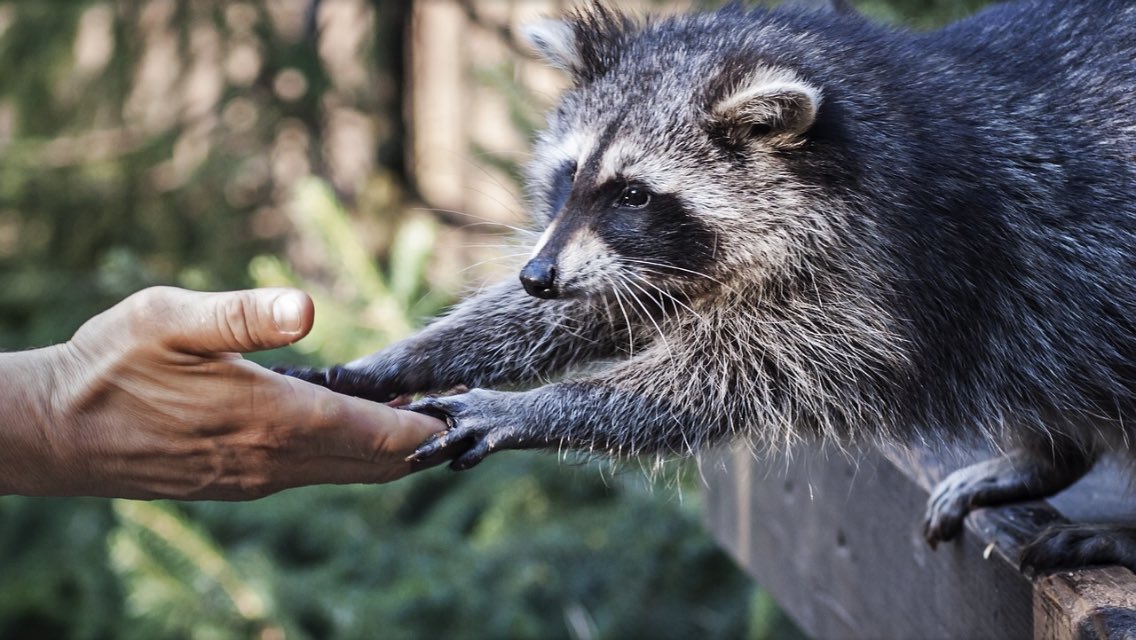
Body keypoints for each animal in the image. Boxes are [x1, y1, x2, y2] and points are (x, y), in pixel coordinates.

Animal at [279, 1, 1136, 575]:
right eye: (570, 175)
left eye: (633, 194)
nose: (536, 276)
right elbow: (604, 305)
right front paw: (402, 355)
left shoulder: (883, 276)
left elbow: (728, 377)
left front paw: (533, 406)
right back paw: (1048, 456)